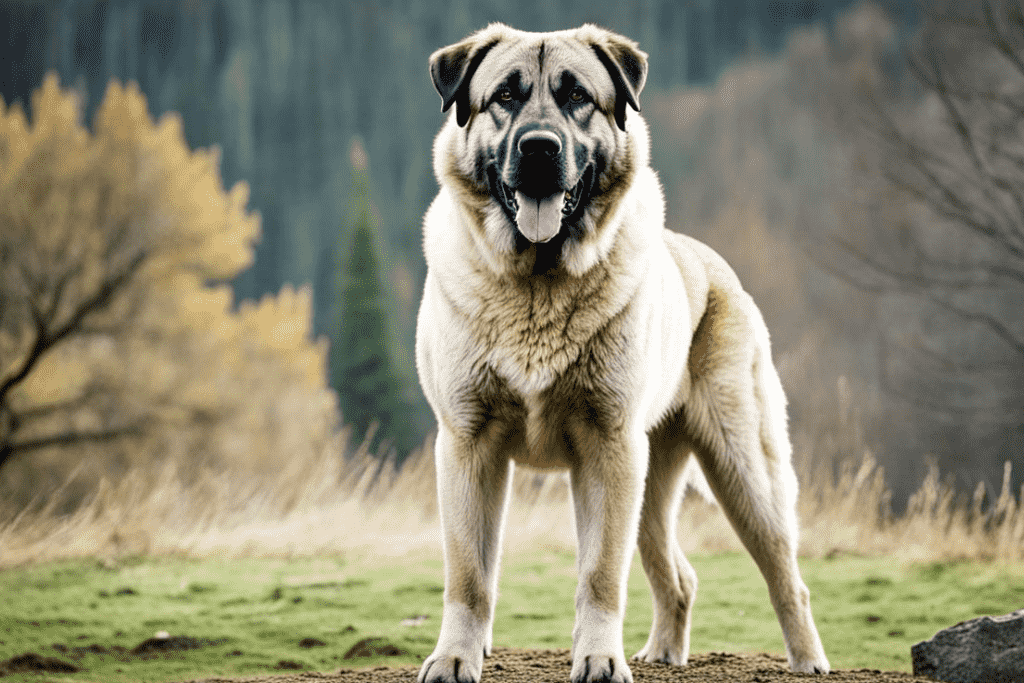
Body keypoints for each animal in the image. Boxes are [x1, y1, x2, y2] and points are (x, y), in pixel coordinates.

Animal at [415, 22, 831, 683]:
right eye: (504, 96)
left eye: (577, 96)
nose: (538, 149)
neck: (537, 286)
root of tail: (719, 269)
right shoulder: (467, 445)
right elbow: (469, 574)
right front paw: (456, 657)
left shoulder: (607, 450)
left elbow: (600, 575)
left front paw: (598, 660)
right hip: (652, 485)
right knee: (679, 577)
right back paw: (664, 652)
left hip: (742, 471)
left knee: (787, 578)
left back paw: (808, 661)